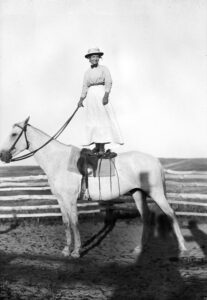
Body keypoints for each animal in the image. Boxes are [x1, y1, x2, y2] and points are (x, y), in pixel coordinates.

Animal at [0, 118, 186, 256]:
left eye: (14, 134)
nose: (3, 155)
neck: (58, 160)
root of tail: (155, 161)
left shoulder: (71, 199)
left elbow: (74, 223)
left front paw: (76, 251)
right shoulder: (60, 200)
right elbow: (66, 223)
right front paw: (66, 250)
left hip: (156, 193)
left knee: (171, 214)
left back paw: (182, 248)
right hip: (138, 194)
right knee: (146, 217)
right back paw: (140, 249)